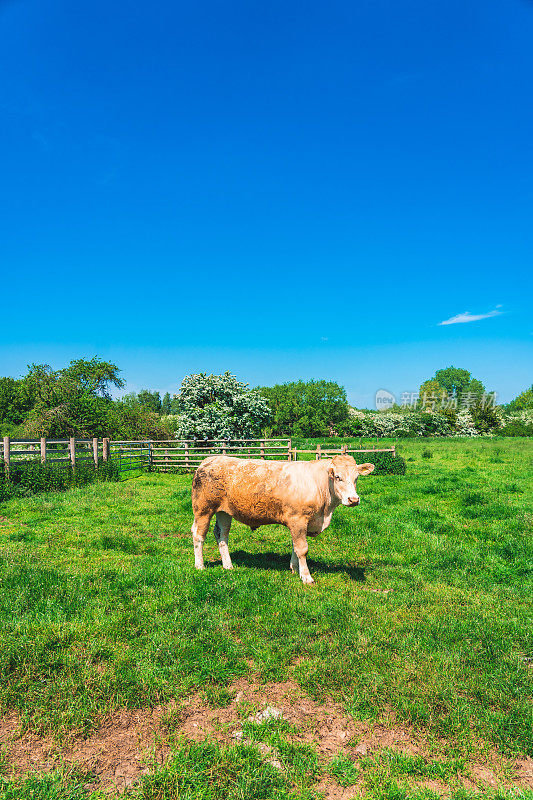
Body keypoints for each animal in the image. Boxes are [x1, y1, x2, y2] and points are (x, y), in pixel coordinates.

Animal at [191, 456, 374, 580]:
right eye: (337, 477)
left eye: (357, 478)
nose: (353, 499)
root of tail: (210, 459)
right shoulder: (298, 519)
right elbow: (302, 548)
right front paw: (306, 576)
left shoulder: (299, 523)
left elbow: (295, 546)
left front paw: (294, 568)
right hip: (203, 509)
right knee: (198, 535)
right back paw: (200, 566)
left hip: (224, 512)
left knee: (222, 535)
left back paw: (228, 565)